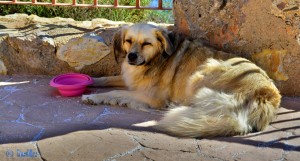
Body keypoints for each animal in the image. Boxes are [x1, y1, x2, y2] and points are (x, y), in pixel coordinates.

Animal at [82, 23, 282, 138]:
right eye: (128, 41)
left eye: (147, 43)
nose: (131, 57)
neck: (156, 59)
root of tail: (265, 95)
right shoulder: (131, 79)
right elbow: (107, 79)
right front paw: (91, 82)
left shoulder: (153, 97)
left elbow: (116, 92)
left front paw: (94, 97)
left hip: (203, 71)